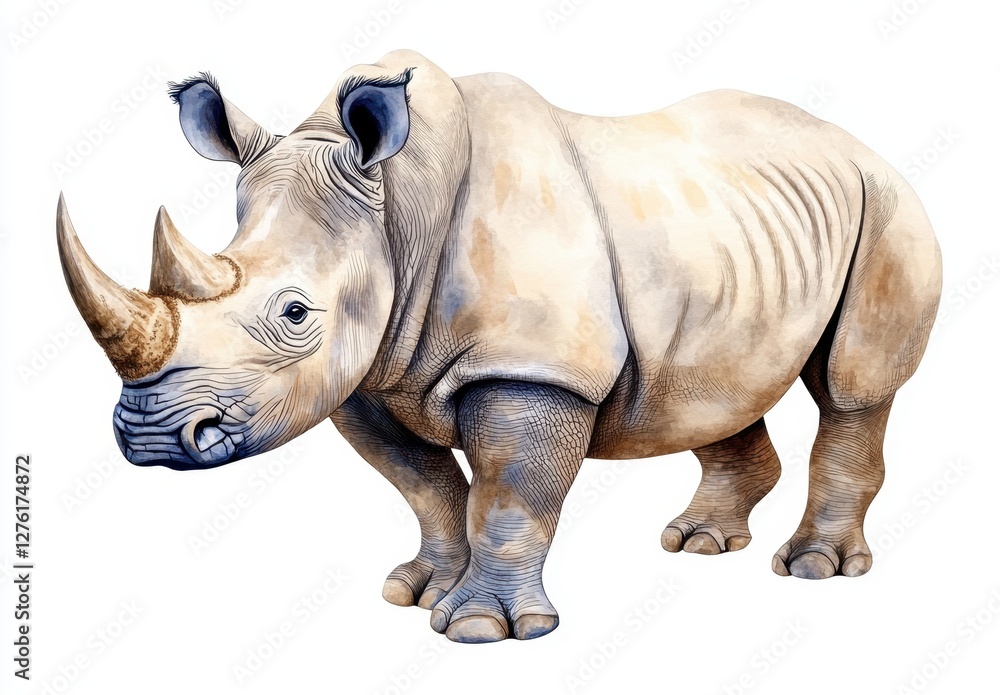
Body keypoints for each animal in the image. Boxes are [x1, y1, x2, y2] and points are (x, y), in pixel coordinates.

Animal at [57, 50, 942, 643]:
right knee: (711, 383)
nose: (150, 437)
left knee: (853, 385)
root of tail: (854, 140)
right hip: (731, 237)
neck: (397, 210)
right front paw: (416, 591)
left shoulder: (536, 367)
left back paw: (814, 567)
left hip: (888, 205)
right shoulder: (363, 377)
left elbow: (512, 495)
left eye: (296, 312)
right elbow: (425, 487)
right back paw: (696, 542)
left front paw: (483, 627)